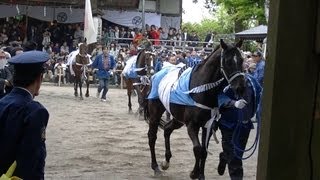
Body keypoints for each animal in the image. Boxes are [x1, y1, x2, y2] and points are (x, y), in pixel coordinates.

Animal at [146, 39, 246, 180]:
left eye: (242, 60)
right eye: (228, 62)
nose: (240, 88)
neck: (201, 89)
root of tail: (156, 74)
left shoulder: (208, 125)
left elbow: (204, 151)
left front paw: (201, 175)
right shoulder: (192, 125)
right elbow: (198, 149)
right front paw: (194, 173)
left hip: (178, 118)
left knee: (167, 129)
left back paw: (166, 161)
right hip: (155, 113)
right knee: (152, 137)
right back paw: (155, 167)